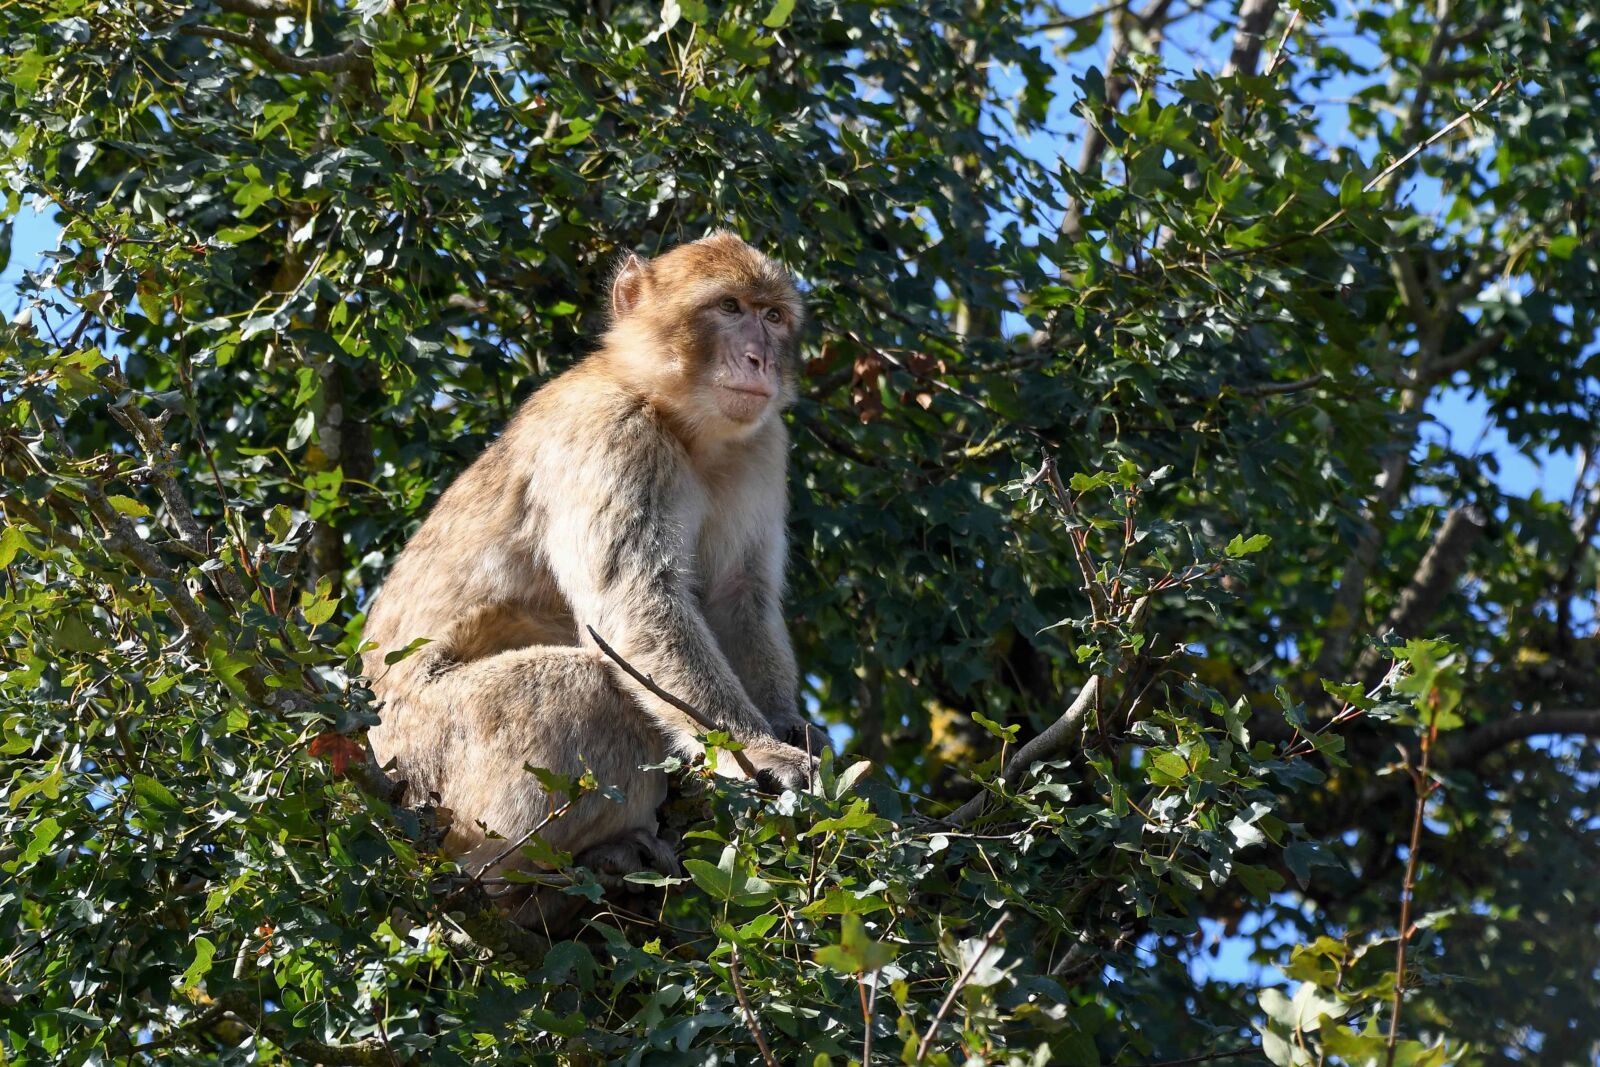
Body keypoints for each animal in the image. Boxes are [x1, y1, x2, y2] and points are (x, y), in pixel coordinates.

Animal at [360, 232, 826, 925]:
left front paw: (788, 726)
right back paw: (514, 883)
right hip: (423, 763)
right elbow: (635, 602)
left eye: (773, 316)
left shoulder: (763, 448)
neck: (680, 425)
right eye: (730, 307)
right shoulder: (610, 434)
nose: (759, 358)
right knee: (582, 686)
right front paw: (760, 752)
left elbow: (739, 597)